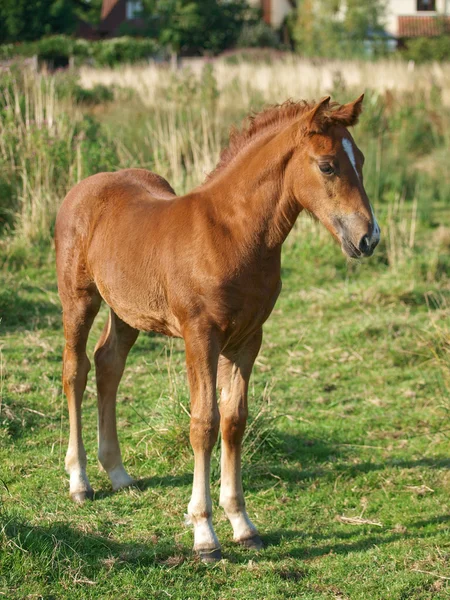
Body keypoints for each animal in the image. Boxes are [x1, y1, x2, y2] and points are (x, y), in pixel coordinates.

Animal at [55, 95, 380, 564]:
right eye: (327, 166)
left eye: (362, 161)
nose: (369, 238)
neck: (232, 234)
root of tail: (84, 187)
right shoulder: (200, 337)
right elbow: (204, 424)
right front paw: (204, 533)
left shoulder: (248, 340)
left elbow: (234, 421)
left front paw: (243, 525)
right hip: (78, 298)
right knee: (75, 370)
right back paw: (79, 481)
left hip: (127, 311)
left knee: (108, 364)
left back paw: (118, 472)